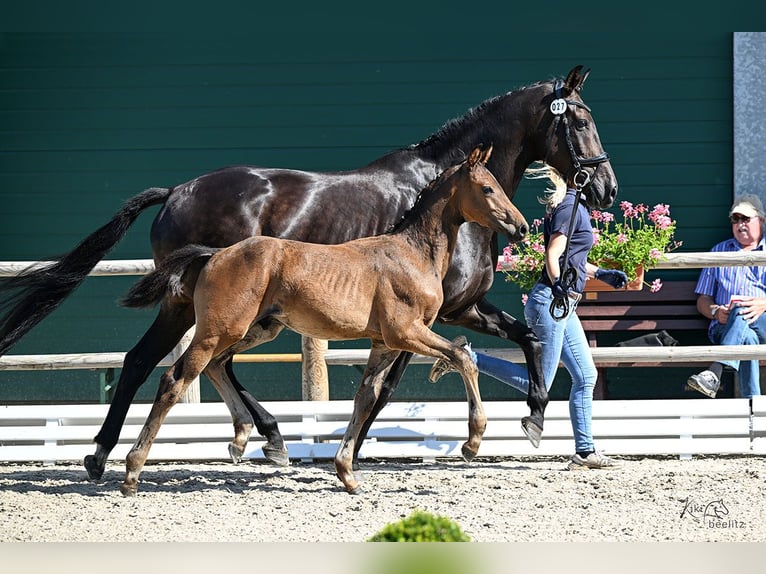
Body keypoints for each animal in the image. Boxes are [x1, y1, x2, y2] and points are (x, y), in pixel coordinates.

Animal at [118, 145, 528, 495]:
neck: (412, 254)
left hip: (255, 329)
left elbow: (365, 398)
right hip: (220, 329)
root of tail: (214, 254)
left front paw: (346, 473)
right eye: (487, 188)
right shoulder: (406, 332)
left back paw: (241, 438)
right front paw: (472, 442)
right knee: (176, 378)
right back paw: (132, 472)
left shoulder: (384, 343)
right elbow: (462, 358)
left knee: (216, 365)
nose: (522, 227)